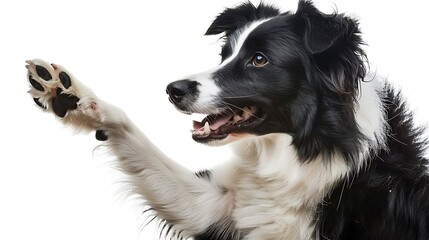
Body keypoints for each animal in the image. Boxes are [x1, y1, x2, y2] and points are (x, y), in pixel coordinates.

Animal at [26, 0, 428, 239]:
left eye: (260, 59)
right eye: (224, 54)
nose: (172, 89)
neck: (300, 154)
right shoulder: (213, 207)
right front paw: (72, 97)